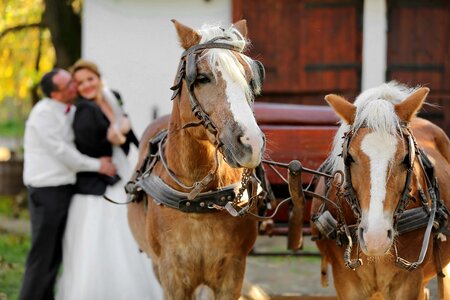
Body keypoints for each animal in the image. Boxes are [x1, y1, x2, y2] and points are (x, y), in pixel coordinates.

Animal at [125, 19, 268, 298]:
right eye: (202, 77)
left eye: (249, 78)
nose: (251, 144)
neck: (199, 198)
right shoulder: (172, 274)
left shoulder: (232, 272)